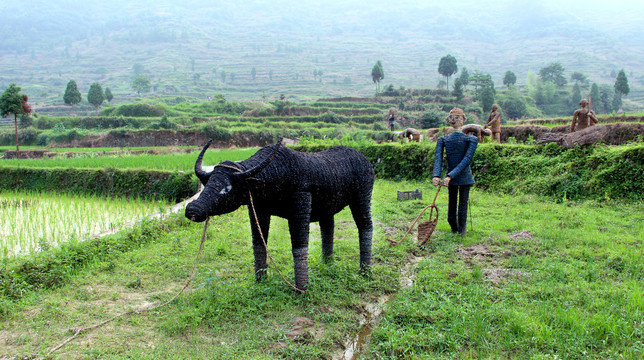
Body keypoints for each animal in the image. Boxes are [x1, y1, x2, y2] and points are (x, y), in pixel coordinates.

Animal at [184, 139, 374, 292]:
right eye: (208, 183)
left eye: (227, 188)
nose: (192, 209)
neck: (274, 174)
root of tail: (365, 160)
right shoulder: (258, 210)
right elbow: (259, 243)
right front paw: (261, 280)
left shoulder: (300, 203)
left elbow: (299, 247)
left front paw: (302, 288)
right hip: (327, 207)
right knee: (328, 228)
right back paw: (328, 264)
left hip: (362, 198)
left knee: (366, 226)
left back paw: (365, 270)